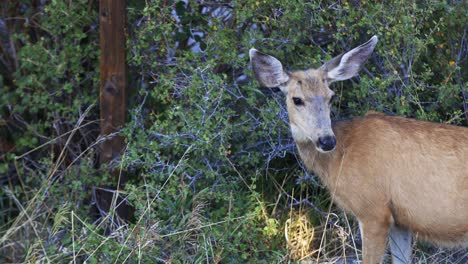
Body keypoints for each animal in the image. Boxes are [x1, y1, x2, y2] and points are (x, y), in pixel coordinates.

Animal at [250, 36, 468, 262]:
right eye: (297, 99)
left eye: (331, 96)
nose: (327, 141)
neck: (341, 156)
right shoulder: (400, 221)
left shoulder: (373, 210)